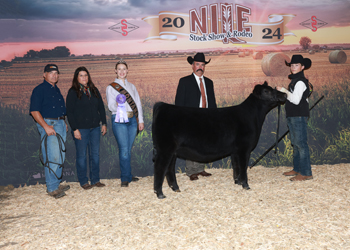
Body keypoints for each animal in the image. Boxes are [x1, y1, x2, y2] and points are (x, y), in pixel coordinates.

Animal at [152, 82, 288, 199]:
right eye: (266, 91)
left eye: (272, 88)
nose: (284, 94)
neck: (253, 116)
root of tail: (163, 105)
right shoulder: (244, 149)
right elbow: (243, 167)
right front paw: (246, 185)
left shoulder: (235, 150)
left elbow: (236, 166)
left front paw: (237, 182)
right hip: (165, 149)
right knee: (160, 168)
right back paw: (160, 193)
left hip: (172, 151)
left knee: (169, 169)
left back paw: (175, 188)